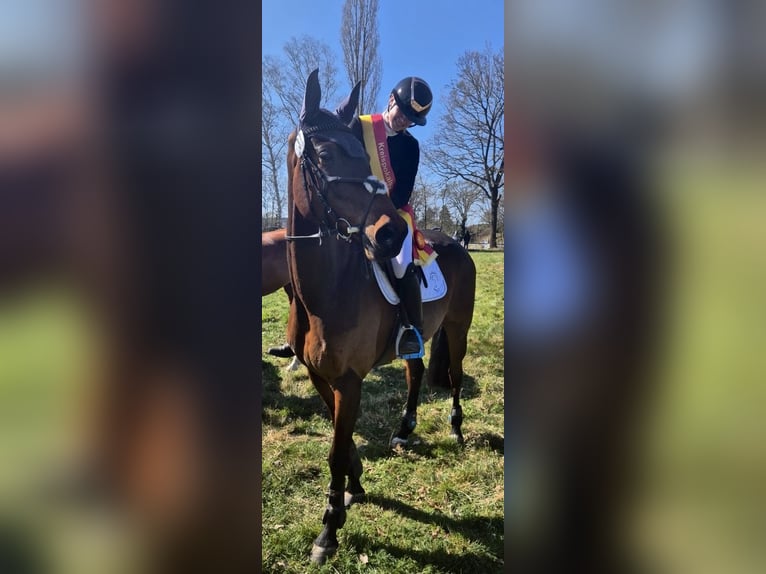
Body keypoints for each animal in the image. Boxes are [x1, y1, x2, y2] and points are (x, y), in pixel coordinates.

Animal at [283, 69, 476, 563]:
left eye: (362, 154)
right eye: (326, 155)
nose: (389, 234)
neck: (325, 291)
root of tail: (456, 244)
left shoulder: (349, 380)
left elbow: (336, 449)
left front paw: (328, 530)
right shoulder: (319, 375)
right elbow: (343, 438)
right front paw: (354, 487)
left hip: (457, 329)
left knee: (455, 375)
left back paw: (455, 429)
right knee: (416, 372)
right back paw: (404, 430)